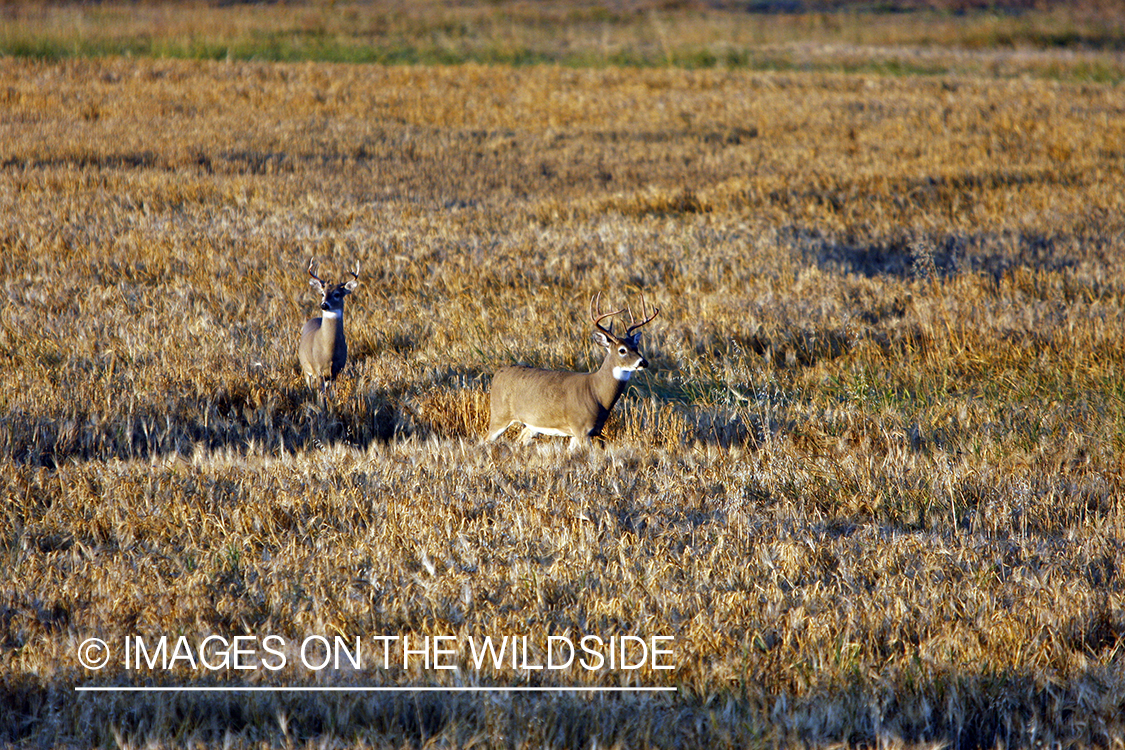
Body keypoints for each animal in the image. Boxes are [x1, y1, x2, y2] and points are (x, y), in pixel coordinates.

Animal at [297, 259, 357, 393]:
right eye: (322, 294)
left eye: (337, 294)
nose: (324, 305)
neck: (328, 350)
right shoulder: (317, 369)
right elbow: (321, 393)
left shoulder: (336, 370)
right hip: (305, 367)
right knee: (309, 385)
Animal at [486, 292, 657, 445]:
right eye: (622, 350)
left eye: (636, 347)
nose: (643, 362)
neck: (596, 393)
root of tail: (498, 373)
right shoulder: (581, 428)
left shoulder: (580, 433)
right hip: (499, 415)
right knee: (486, 440)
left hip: (532, 425)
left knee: (519, 441)